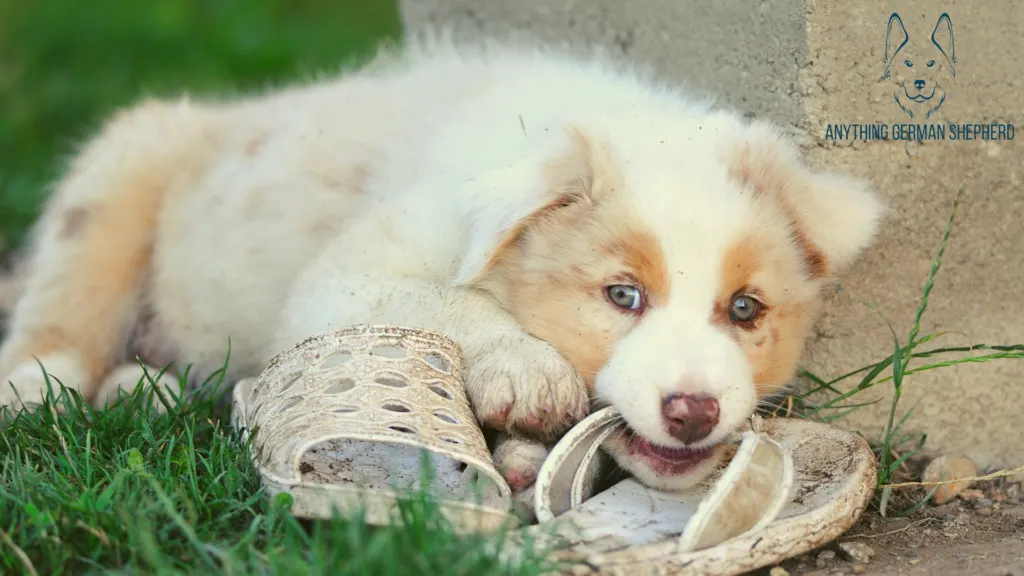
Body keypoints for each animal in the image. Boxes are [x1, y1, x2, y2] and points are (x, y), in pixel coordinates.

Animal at [0, 38, 880, 491]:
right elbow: (444, 301)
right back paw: (40, 385)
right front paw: (526, 371)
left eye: (746, 309)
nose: (693, 412)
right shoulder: (343, 278)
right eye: (622, 296)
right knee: (61, 306)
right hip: (120, 171)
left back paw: (144, 389)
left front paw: (524, 457)